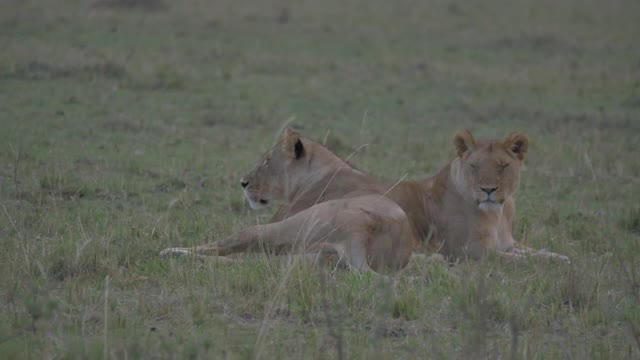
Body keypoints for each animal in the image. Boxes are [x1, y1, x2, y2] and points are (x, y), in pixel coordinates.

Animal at [159, 128, 418, 272]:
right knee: (253, 264)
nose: (243, 182)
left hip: (288, 227)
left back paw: (171, 252)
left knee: (235, 245)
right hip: (308, 257)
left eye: (266, 160)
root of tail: (364, 233)